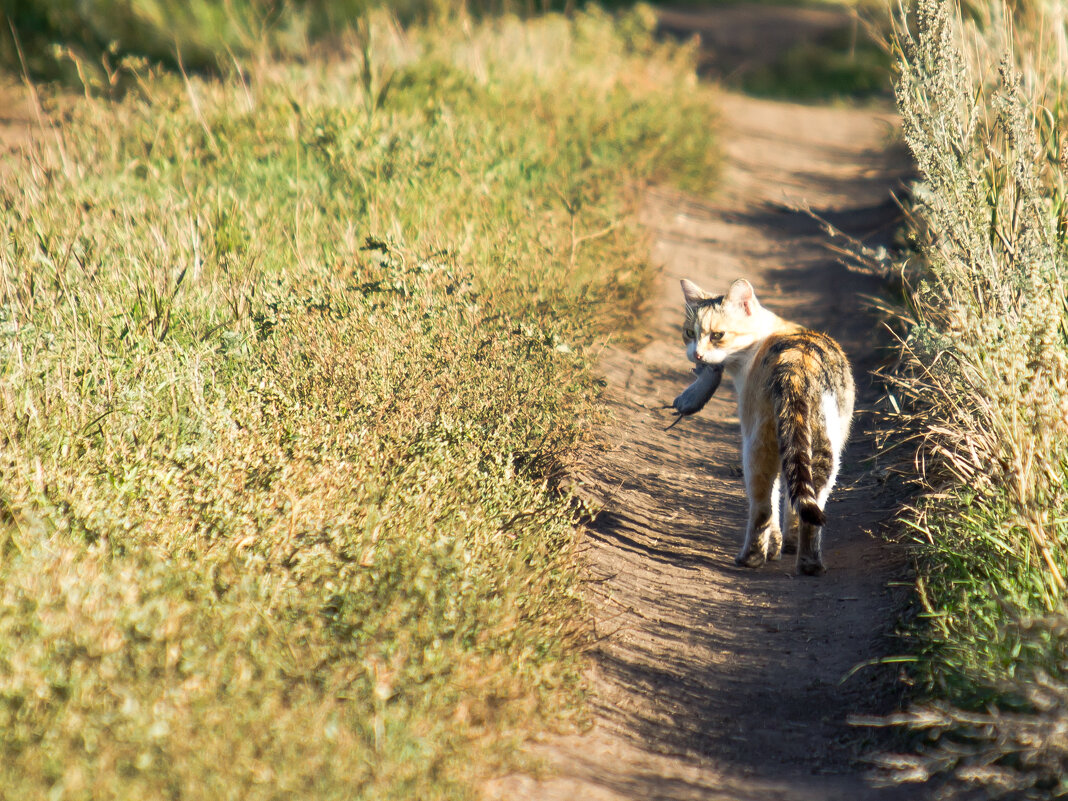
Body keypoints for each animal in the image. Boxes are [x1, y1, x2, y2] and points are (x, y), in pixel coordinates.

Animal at [674, 279, 858, 572]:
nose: (698, 355)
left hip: (756, 446)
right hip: (823, 448)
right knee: (813, 506)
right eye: (689, 333)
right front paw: (788, 543)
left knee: (762, 507)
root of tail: (796, 365)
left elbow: (773, 501)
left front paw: (773, 548)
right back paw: (809, 564)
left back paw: (750, 558)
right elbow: (793, 503)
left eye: (718, 335)